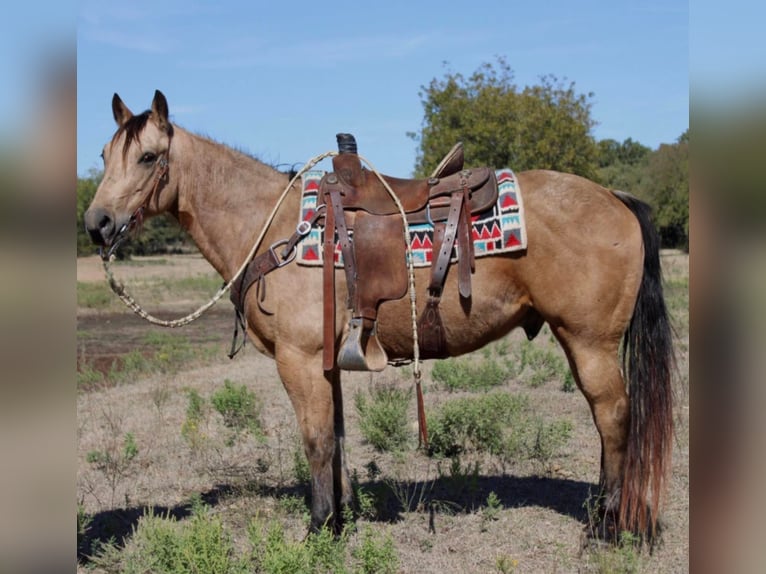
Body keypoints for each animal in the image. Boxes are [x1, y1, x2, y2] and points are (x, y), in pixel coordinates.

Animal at [81, 92, 676, 544]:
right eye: (106, 155)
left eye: (149, 157)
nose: (97, 223)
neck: (280, 230)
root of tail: (615, 197)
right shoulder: (326, 363)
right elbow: (339, 440)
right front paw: (341, 521)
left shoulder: (299, 362)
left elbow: (316, 441)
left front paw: (318, 531)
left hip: (589, 342)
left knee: (614, 418)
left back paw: (608, 526)